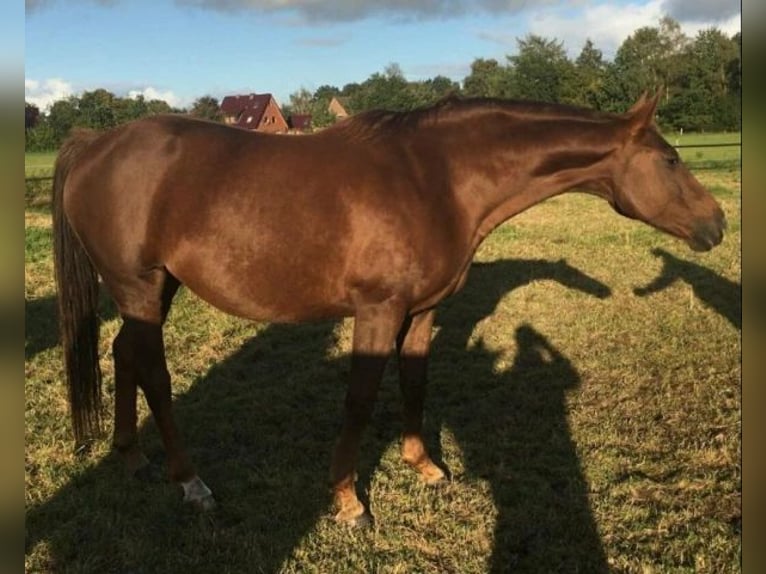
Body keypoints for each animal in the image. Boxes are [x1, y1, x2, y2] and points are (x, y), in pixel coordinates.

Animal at [52, 93, 728, 528]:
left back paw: (131, 456)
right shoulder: (376, 312)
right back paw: (190, 482)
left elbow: (415, 383)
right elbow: (359, 398)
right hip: (139, 286)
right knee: (155, 374)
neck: (437, 177)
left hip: (155, 289)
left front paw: (425, 466)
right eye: (670, 159)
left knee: (123, 355)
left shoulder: (422, 312)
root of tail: (97, 144)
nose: (717, 224)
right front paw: (348, 500)